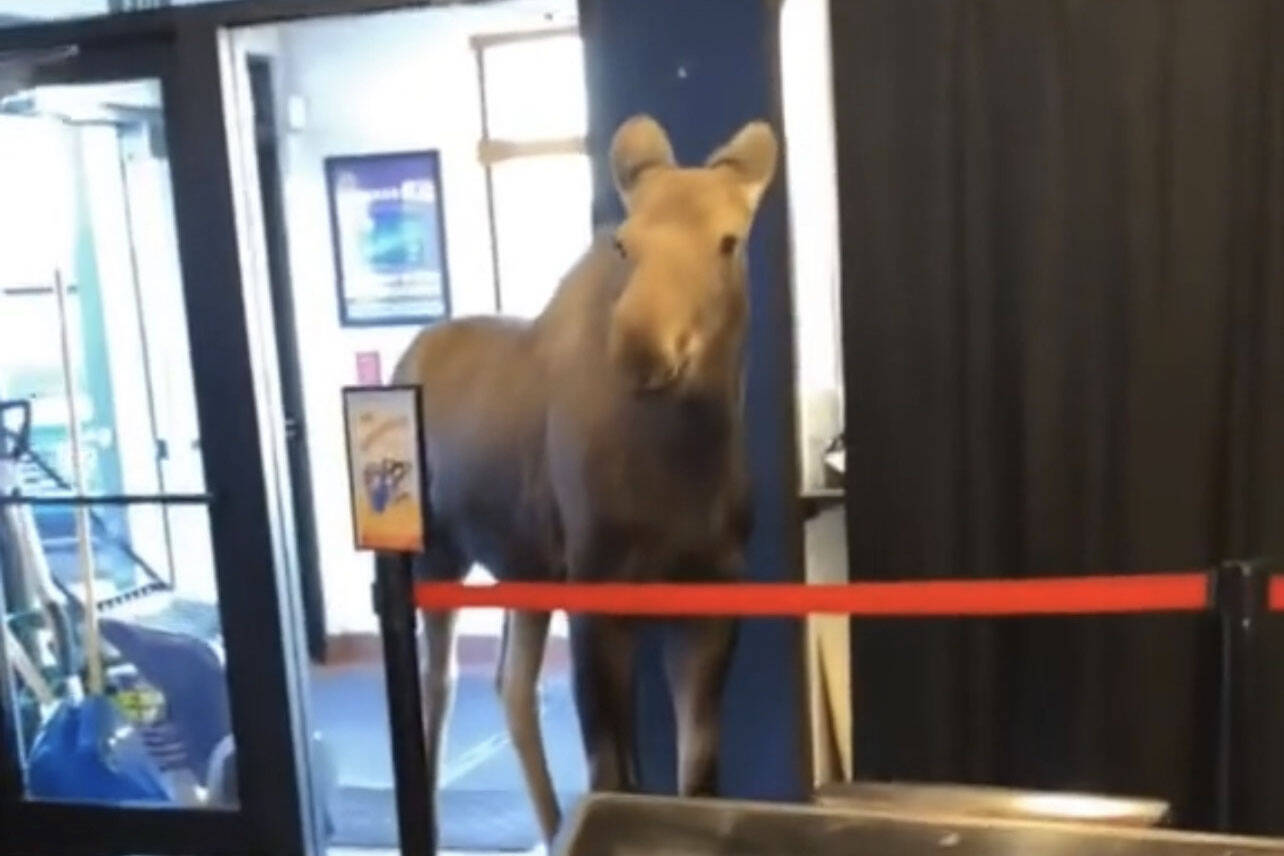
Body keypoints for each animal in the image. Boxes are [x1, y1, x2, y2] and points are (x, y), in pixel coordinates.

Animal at [382, 115, 780, 852]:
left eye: (728, 239)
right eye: (623, 242)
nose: (641, 345)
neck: (686, 462)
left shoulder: (711, 597)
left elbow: (699, 777)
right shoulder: (597, 595)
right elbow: (614, 774)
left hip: (525, 565)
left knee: (511, 685)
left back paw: (548, 825)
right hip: (437, 557)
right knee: (438, 685)